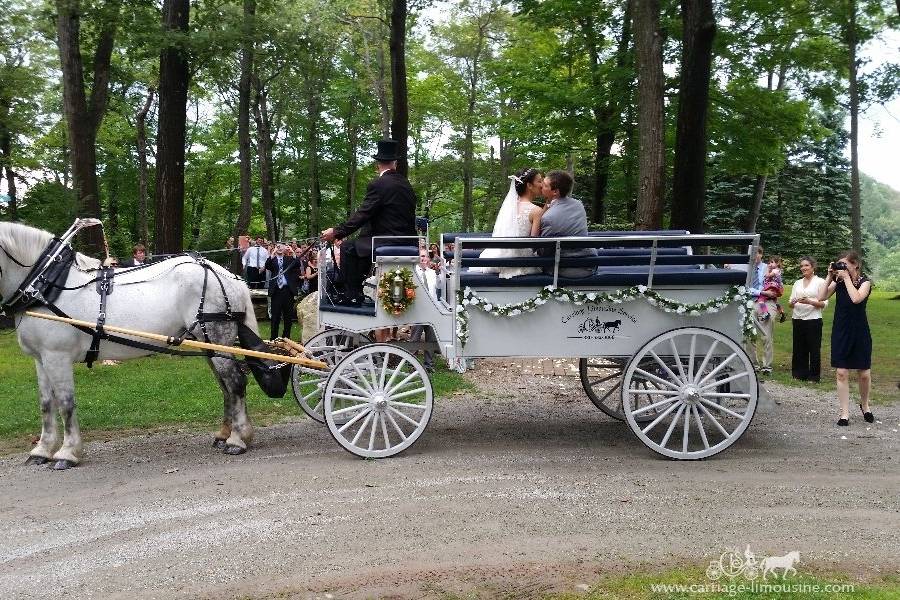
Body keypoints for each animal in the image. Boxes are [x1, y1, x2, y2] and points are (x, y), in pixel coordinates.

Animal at [0, 221, 260, 468]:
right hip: (210, 345)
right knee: (225, 386)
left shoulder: (57, 356)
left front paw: (68, 452)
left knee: (235, 383)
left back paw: (238, 439)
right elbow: (46, 404)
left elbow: (65, 404)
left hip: (217, 339)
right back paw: (224, 434)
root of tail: (231, 277)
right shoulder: (41, 358)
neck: (45, 286)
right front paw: (42, 450)